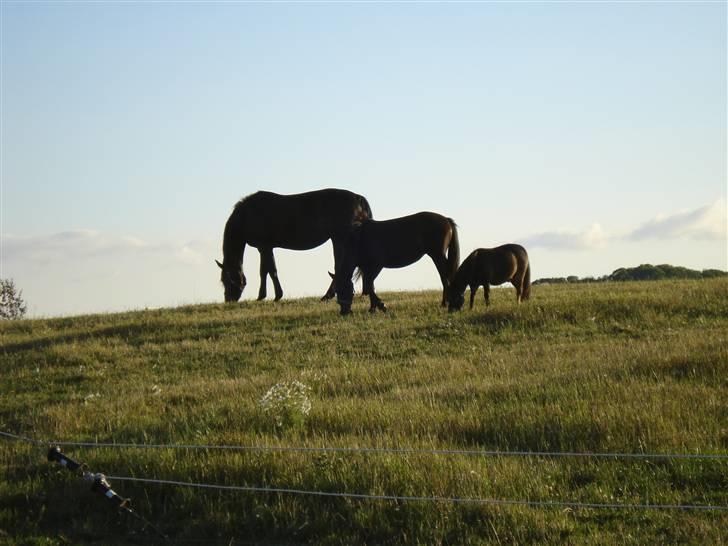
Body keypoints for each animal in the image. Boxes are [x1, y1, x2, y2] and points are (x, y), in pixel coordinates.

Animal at [216, 188, 372, 302]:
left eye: (229, 280)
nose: (229, 300)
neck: (248, 215)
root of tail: (358, 198)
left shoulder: (265, 247)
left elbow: (269, 271)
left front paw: (273, 296)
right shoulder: (265, 248)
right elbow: (266, 271)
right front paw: (266, 296)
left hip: (340, 238)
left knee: (340, 266)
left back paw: (328, 296)